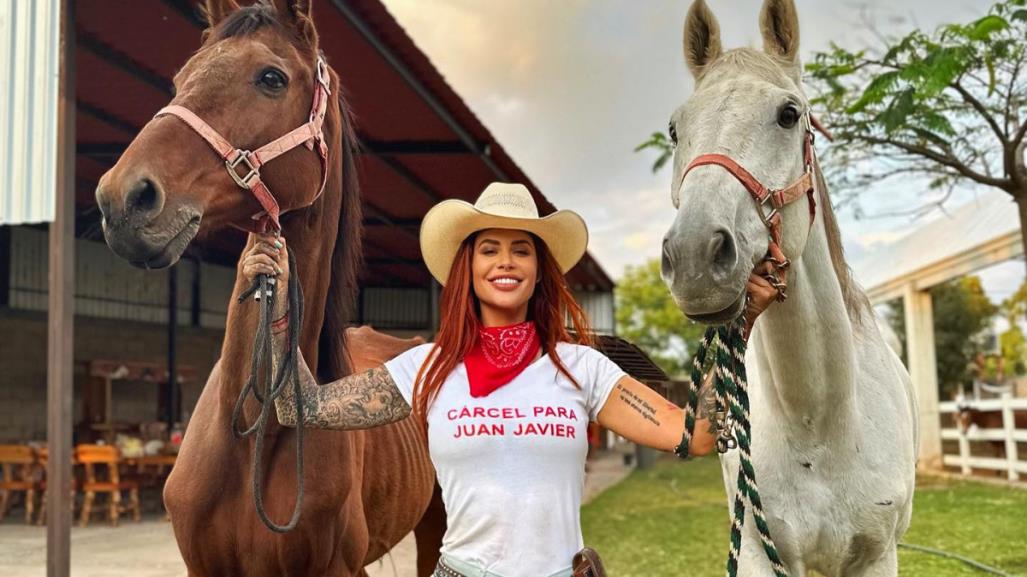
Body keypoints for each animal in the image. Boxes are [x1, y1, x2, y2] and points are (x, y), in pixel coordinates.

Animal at [661, 2, 920, 570]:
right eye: (674, 129)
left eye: (789, 114)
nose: (693, 256)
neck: (821, 425)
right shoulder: (761, 553)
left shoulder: (878, 556)